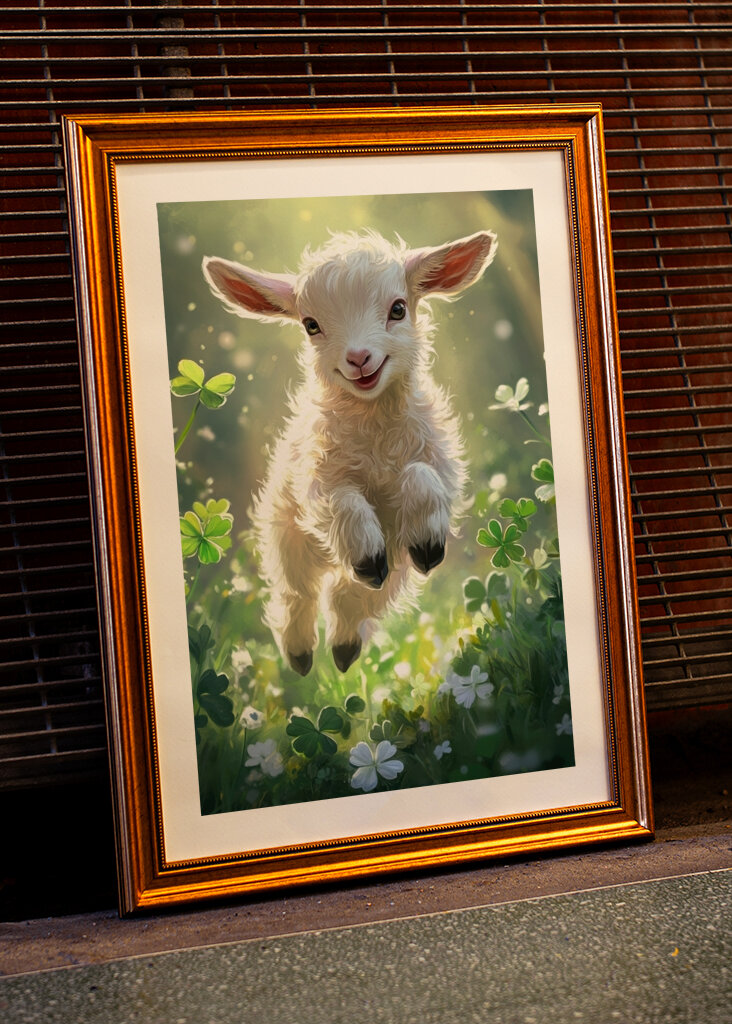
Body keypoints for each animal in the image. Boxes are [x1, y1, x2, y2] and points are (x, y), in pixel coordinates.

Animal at [203, 228, 497, 675]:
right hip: (288, 539)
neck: (375, 433)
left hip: (393, 565)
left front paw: (428, 543)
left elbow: (421, 477)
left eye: (398, 309)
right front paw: (366, 552)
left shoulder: (441, 467)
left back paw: (344, 646)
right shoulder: (316, 483)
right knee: (299, 594)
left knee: (354, 595)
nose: (359, 359)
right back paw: (302, 653)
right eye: (311, 325)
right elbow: (343, 502)